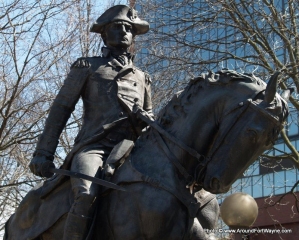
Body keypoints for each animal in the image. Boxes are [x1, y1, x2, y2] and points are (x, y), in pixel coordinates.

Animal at [4, 69, 288, 240]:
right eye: (252, 132)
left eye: (270, 143)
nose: (217, 183)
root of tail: (13, 217)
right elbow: (63, 103)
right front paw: (41, 161)